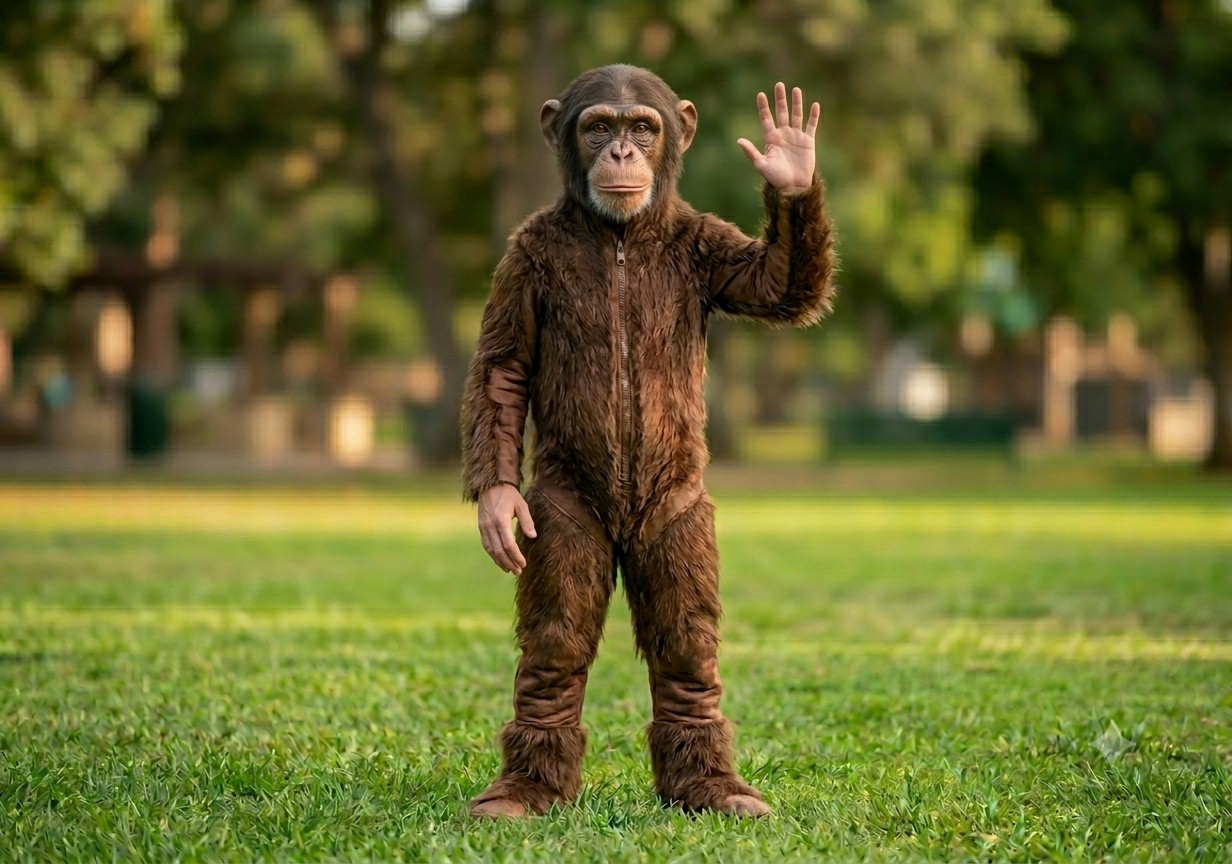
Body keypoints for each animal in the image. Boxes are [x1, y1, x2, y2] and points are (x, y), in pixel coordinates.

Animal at [461, 65, 836, 819]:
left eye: (642, 126)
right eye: (598, 126)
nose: (621, 153)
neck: (620, 239)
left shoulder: (709, 251)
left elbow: (777, 286)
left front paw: (790, 163)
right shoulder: (522, 258)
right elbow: (504, 368)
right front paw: (495, 505)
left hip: (676, 517)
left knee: (685, 635)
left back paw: (711, 785)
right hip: (567, 516)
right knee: (556, 638)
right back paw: (525, 788)